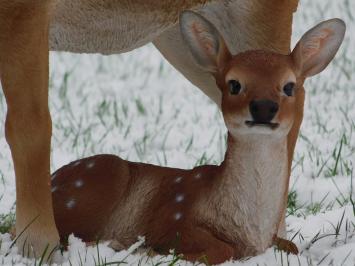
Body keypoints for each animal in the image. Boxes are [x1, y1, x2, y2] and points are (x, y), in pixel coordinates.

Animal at [50, 12, 344, 264]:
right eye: (234, 84)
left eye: (289, 86)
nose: (263, 107)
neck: (251, 230)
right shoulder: (173, 217)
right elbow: (222, 249)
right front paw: (147, 251)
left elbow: (292, 245)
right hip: (100, 184)